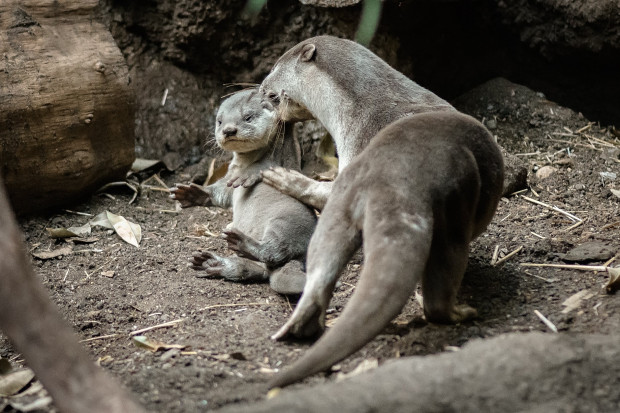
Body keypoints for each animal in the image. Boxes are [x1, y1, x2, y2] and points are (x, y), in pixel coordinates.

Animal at [170, 88, 314, 294]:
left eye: (247, 117)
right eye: (220, 121)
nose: (229, 130)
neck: (241, 165)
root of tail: (299, 258)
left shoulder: (280, 160)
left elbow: (266, 167)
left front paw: (249, 174)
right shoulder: (228, 180)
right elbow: (221, 193)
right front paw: (192, 193)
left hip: (287, 223)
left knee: (275, 251)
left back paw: (241, 242)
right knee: (247, 270)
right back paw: (212, 263)